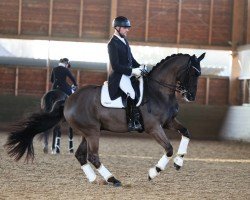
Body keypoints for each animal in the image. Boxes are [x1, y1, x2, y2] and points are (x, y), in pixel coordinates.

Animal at [5, 53, 205, 188]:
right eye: (192, 73)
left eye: (199, 74)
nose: (191, 96)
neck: (159, 91)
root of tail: (68, 99)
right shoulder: (154, 127)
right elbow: (168, 148)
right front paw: (153, 172)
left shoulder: (168, 122)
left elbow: (186, 133)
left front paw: (179, 162)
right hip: (92, 132)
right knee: (93, 156)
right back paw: (112, 179)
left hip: (88, 132)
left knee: (81, 155)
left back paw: (94, 179)